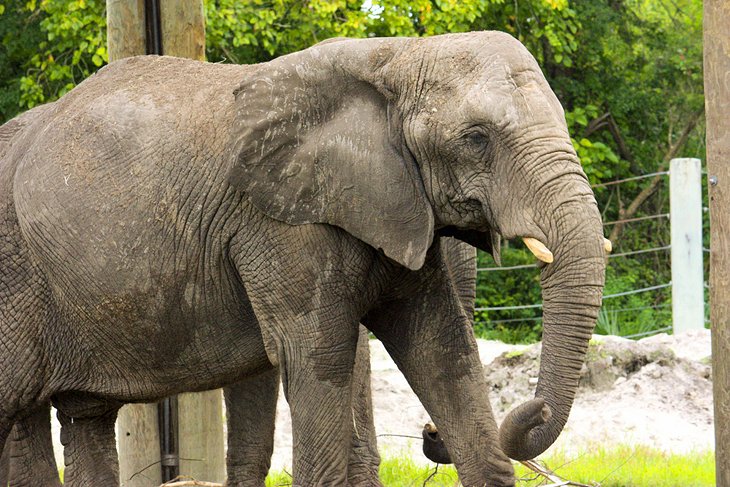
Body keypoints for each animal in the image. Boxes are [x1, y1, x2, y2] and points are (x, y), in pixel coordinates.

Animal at [0, 31, 604, 487]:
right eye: (476, 138)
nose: (535, 409)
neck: (395, 57)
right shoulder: (282, 226)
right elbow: (319, 359)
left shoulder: (393, 207)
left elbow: (441, 347)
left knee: (84, 417)